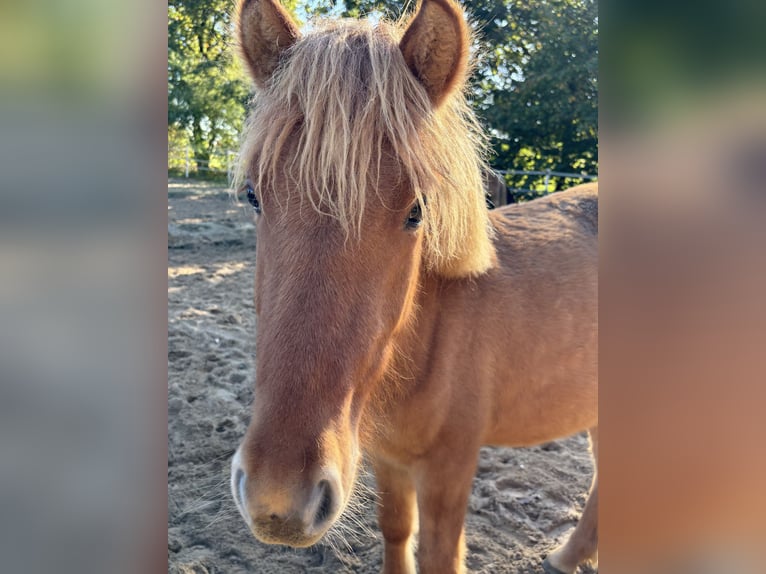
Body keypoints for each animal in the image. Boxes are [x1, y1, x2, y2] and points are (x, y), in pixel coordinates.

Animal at [229, 0, 598, 572]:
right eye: (253, 195)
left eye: (416, 211)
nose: (277, 502)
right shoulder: (387, 460)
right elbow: (396, 529)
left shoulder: (449, 467)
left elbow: (437, 553)